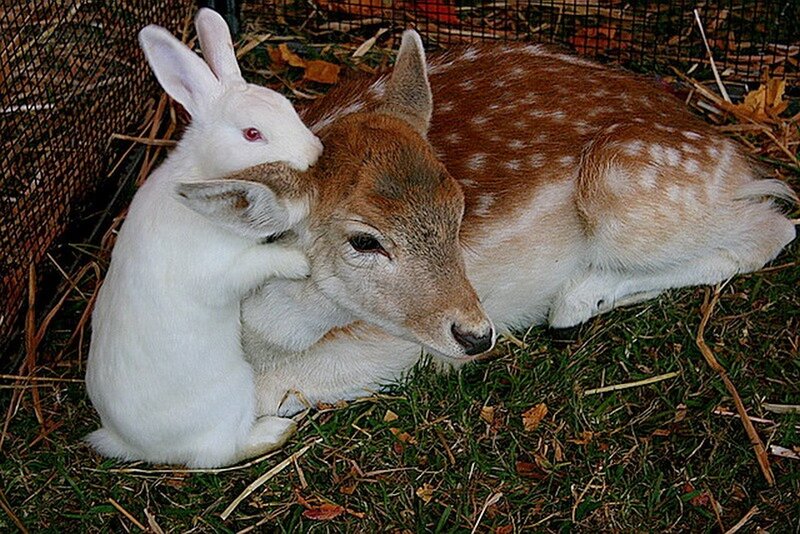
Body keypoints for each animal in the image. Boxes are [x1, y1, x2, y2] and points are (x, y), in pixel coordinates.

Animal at [84, 8, 322, 468]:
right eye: (252, 134)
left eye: (286, 106)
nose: (314, 152)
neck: (198, 171)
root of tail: (129, 443)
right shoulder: (222, 270)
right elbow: (259, 263)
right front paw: (299, 262)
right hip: (235, 391)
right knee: (221, 451)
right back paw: (275, 431)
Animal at [221, 32, 796, 420]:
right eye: (364, 240)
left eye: (460, 211)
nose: (478, 335)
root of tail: (734, 149)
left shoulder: (389, 343)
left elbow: (262, 394)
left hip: (626, 181)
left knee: (773, 227)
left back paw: (576, 299)